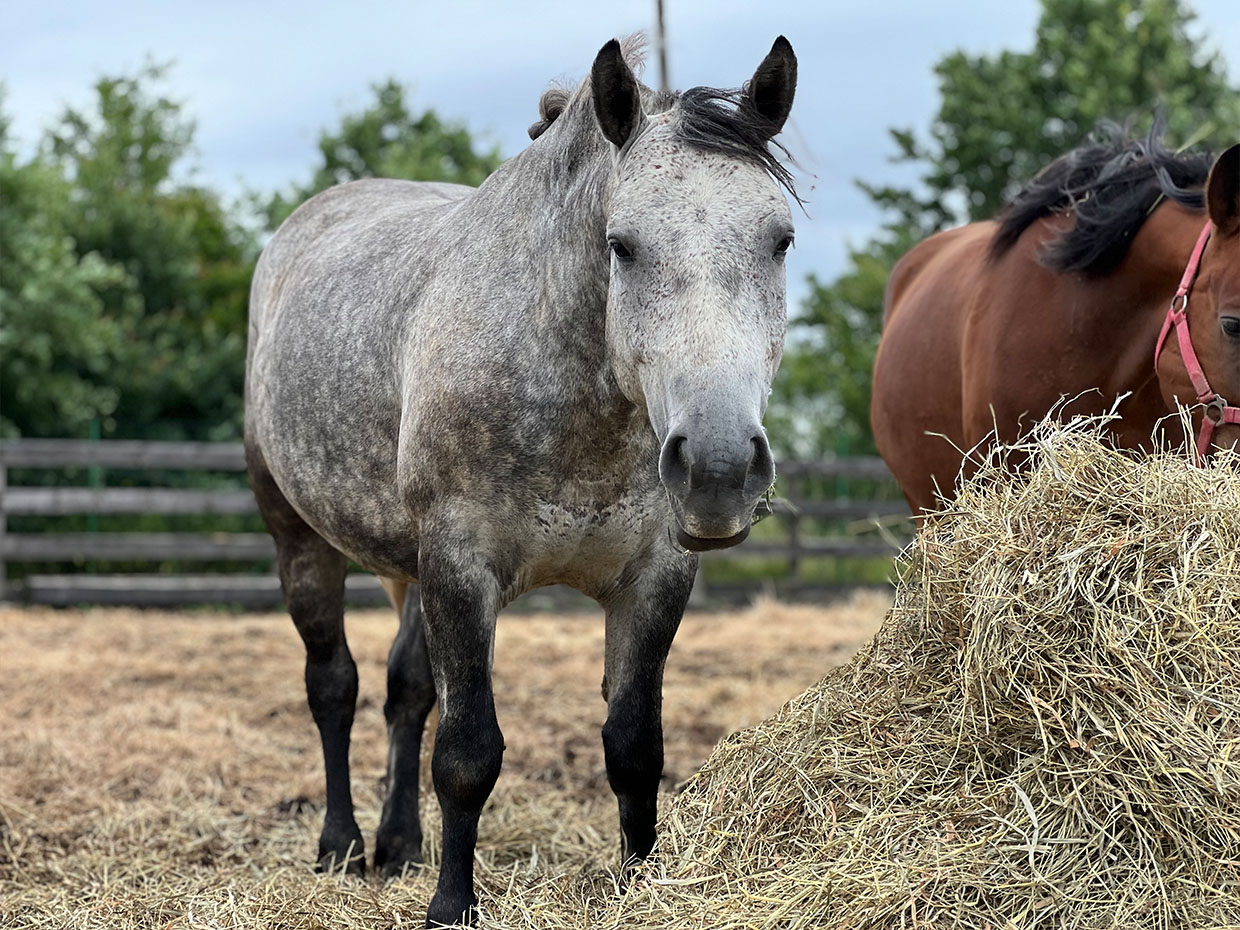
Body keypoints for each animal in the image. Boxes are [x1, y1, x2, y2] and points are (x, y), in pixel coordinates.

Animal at [246, 34, 798, 927]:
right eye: (622, 244)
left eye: (778, 240)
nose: (718, 467)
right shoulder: (461, 567)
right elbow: (468, 753)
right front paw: (450, 906)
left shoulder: (655, 576)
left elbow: (633, 747)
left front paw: (637, 884)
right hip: (299, 537)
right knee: (333, 686)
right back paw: (342, 845)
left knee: (405, 691)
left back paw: (399, 844)